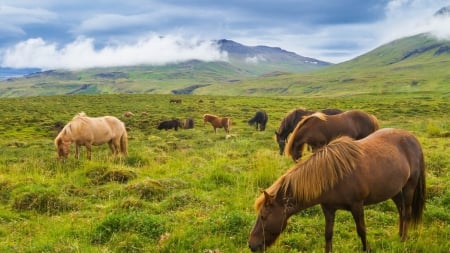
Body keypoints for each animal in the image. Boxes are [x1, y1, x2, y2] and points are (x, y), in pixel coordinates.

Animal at [248, 129, 428, 252]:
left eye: (263, 217)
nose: (251, 245)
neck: (332, 176)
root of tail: (412, 138)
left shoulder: (357, 206)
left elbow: (361, 231)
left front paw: (367, 249)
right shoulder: (328, 209)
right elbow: (328, 234)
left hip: (409, 186)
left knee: (407, 212)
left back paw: (403, 239)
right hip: (395, 190)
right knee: (400, 209)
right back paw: (399, 234)